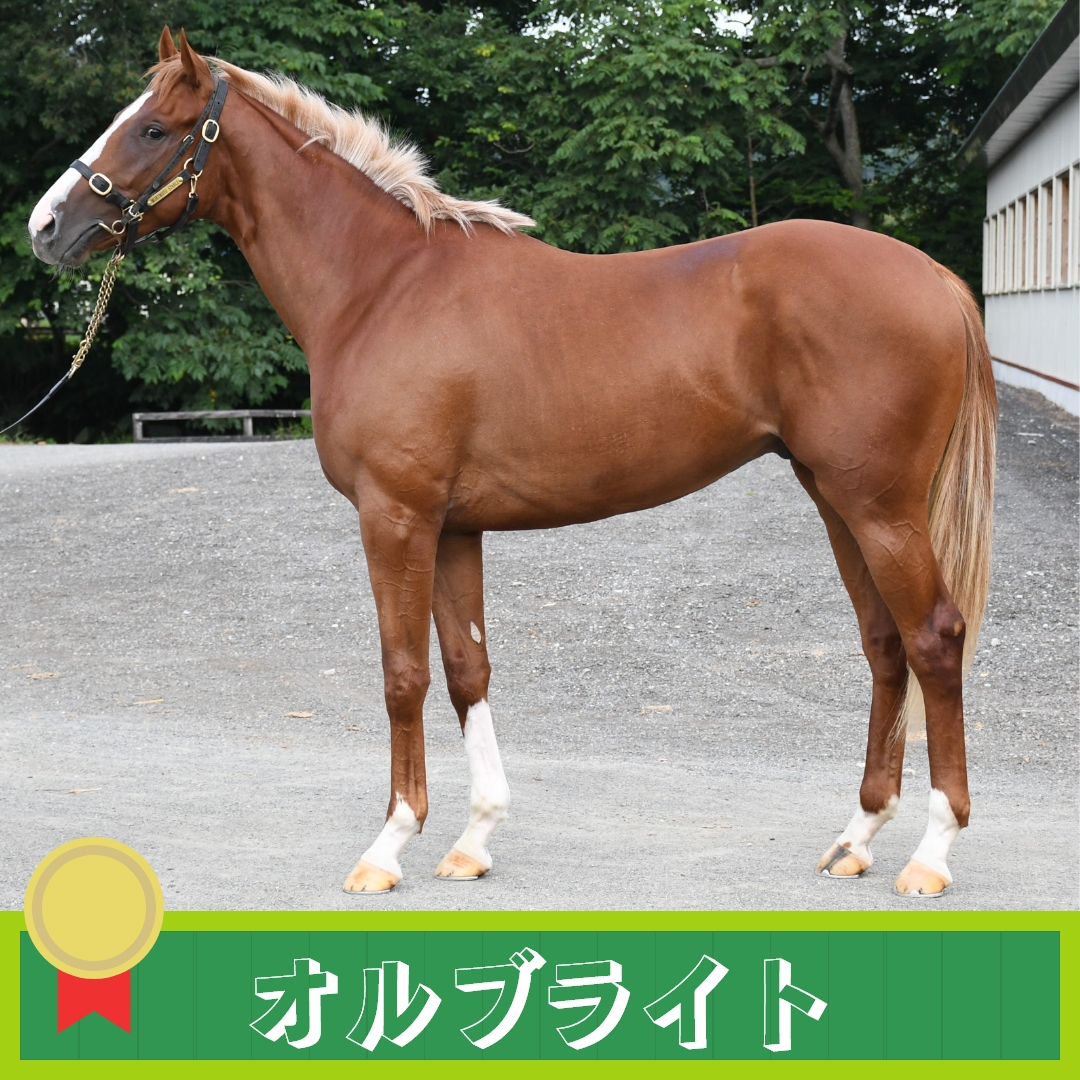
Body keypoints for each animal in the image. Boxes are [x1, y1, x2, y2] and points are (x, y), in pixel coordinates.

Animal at [28, 29, 995, 899]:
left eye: (153, 128)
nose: (46, 226)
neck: (381, 287)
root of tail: (936, 279)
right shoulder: (455, 527)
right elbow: (467, 671)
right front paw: (472, 841)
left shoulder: (396, 516)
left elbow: (404, 674)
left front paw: (390, 846)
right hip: (837, 500)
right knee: (884, 646)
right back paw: (856, 839)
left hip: (880, 508)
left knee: (933, 638)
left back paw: (931, 855)